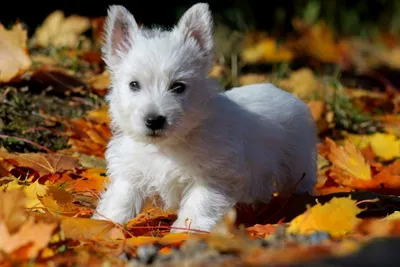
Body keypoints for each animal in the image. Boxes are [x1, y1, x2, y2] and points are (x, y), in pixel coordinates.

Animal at [91, 2, 318, 232]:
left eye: (178, 87)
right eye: (134, 85)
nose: (154, 120)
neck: (166, 147)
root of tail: (285, 93)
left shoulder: (212, 175)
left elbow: (199, 202)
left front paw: (188, 229)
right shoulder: (132, 170)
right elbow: (122, 197)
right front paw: (106, 222)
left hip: (296, 164)